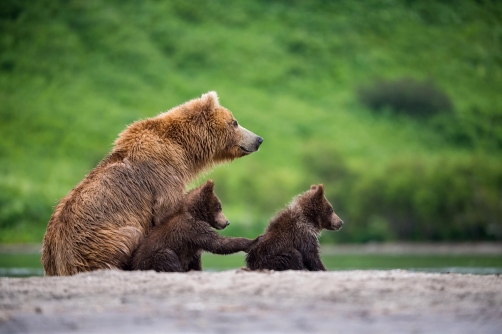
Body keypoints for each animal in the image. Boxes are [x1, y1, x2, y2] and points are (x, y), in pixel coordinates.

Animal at [41, 92, 262, 276]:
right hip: (100, 241)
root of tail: (57, 261)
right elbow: (167, 215)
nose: (259, 139)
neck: (183, 150)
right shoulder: (162, 177)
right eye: (235, 122)